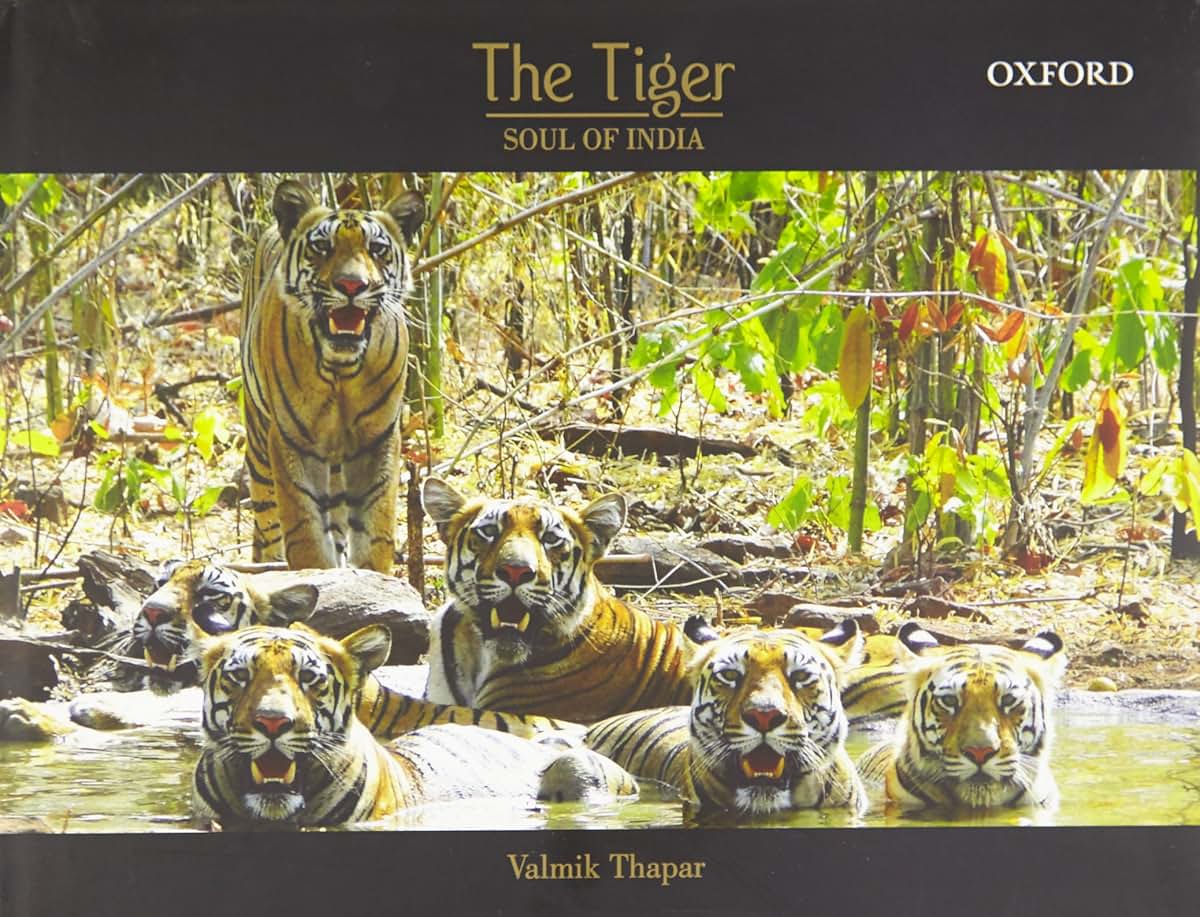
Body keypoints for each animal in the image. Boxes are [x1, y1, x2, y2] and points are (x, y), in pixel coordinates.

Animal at [241, 178, 423, 572]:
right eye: (322, 247)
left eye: (377, 250)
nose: (352, 286)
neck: (342, 370)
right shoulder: (291, 440)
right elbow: (305, 529)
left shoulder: (378, 439)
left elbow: (376, 530)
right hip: (259, 447)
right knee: (267, 528)